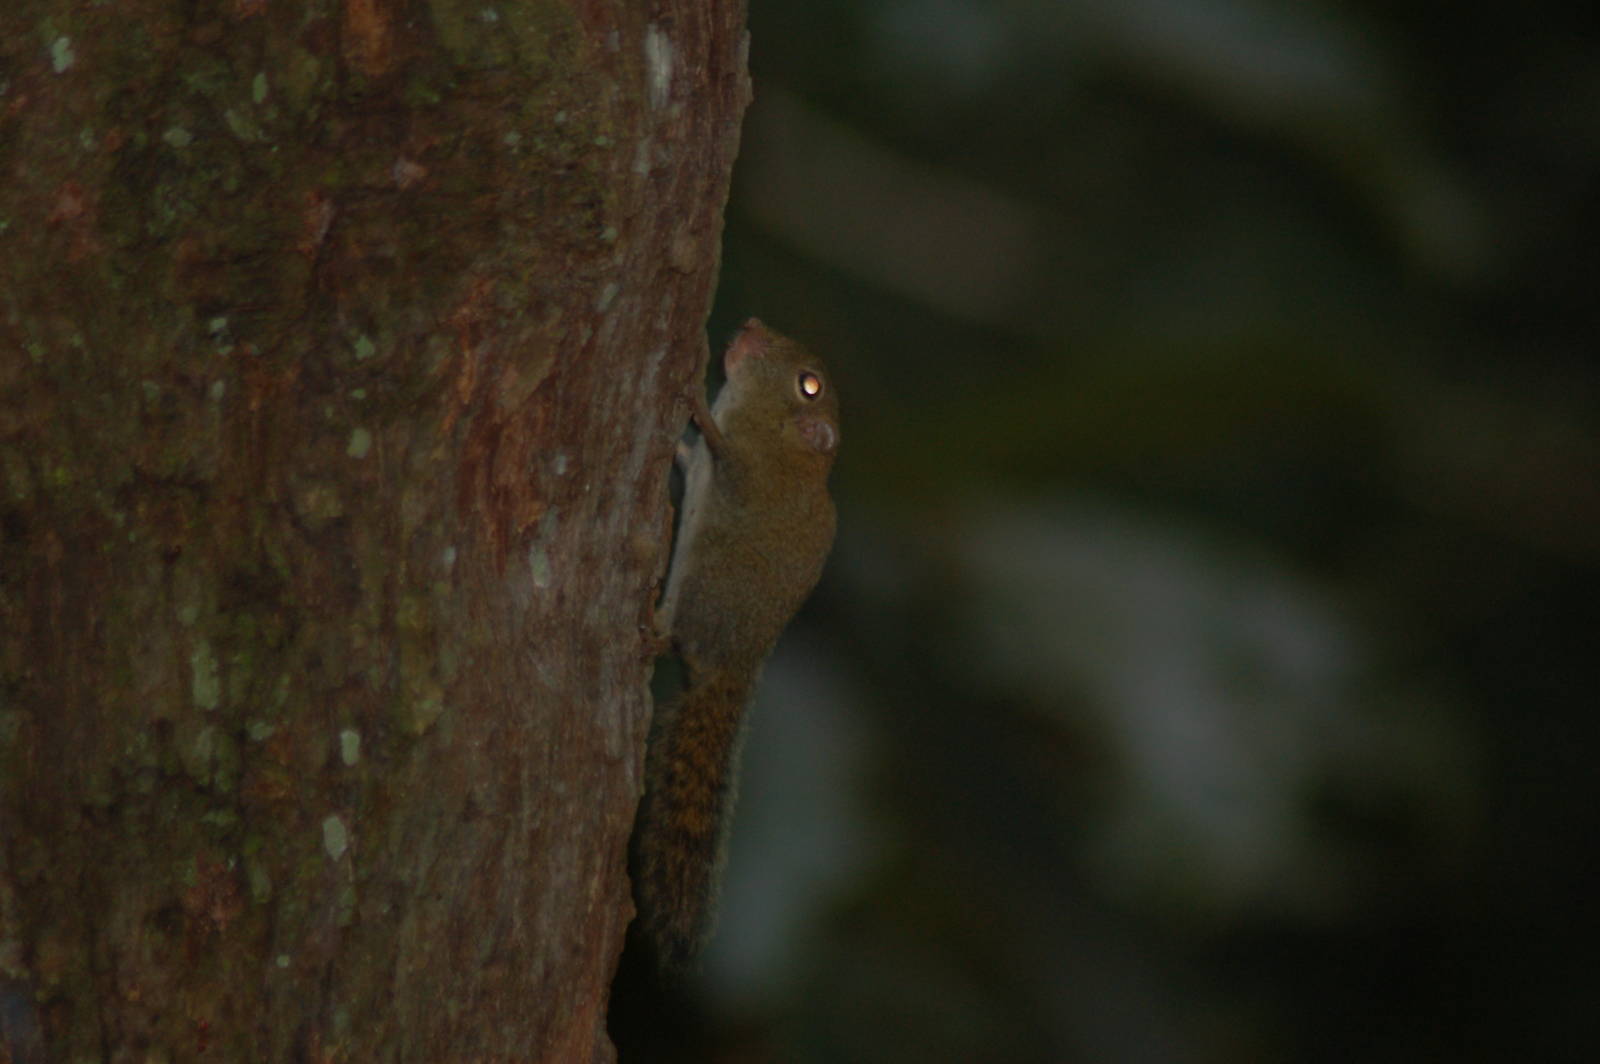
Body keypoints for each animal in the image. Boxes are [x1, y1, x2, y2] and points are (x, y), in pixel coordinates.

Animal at [631, 318, 839, 973]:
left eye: (809, 385)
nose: (751, 327)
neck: (783, 448)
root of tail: (735, 665)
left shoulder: (745, 473)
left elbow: (719, 447)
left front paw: (695, 397)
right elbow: (688, 453)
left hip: (704, 593)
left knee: (677, 637)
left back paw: (651, 630)